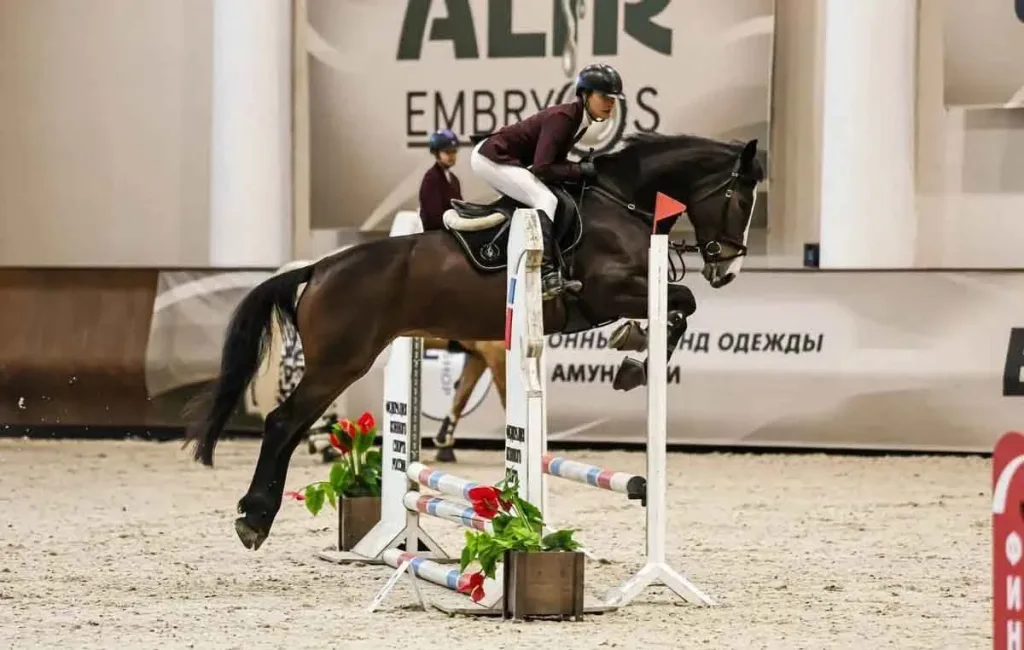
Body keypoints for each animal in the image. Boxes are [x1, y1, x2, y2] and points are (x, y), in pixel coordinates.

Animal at [184, 132, 764, 551]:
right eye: (740, 198)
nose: (728, 270)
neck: (620, 202)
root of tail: (319, 267)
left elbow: (677, 308)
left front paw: (634, 350)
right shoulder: (606, 292)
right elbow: (681, 303)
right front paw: (635, 361)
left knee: (295, 422)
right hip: (340, 363)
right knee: (284, 422)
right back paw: (254, 518)